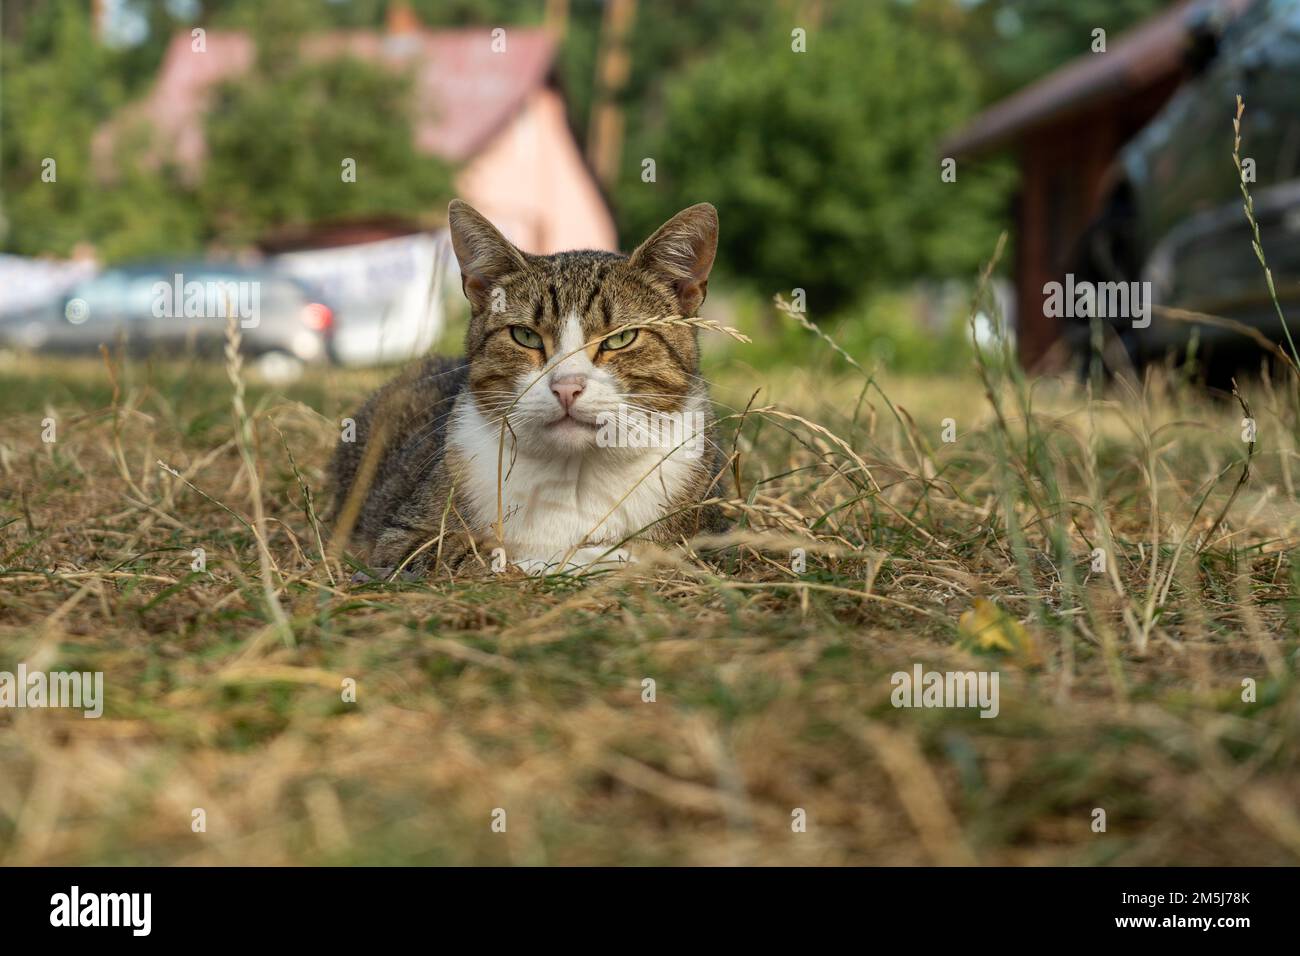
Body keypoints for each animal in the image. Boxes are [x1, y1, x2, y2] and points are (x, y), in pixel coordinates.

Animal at [330, 197, 728, 580]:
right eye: (525, 336)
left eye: (621, 338)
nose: (566, 387)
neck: (574, 473)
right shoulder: (401, 538)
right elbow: (469, 554)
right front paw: (547, 562)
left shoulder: (713, 535)